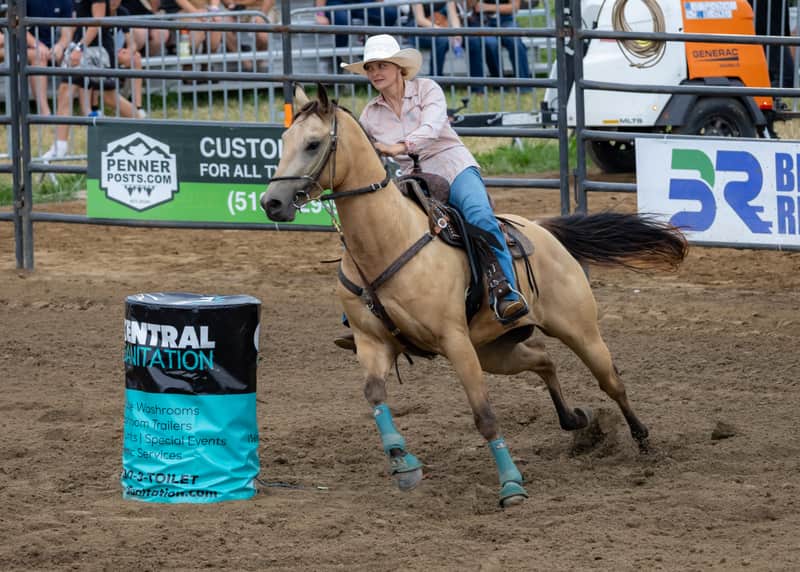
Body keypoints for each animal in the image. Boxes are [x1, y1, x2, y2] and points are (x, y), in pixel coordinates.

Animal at [262, 85, 688, 507]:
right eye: (284, 140)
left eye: (314, 143)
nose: (271, 202)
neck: (387, 239)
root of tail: (546, 231)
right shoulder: (372, 342)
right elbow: (374, 395)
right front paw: (403, 463)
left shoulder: (455, 343)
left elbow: (484, 415)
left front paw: (511, 485)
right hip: (495, 351)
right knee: (543, 359)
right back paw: (574, 420)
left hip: (578, 331)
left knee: (612, 381)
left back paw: (643, 440)